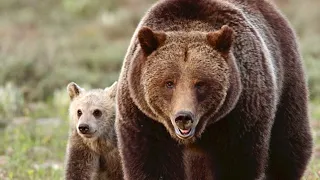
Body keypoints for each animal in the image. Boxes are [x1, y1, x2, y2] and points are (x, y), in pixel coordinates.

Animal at [115, 0, 312, 180]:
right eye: (169, 83)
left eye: (200, 84)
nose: (183, 117)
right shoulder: (144, 121)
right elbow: (152, 165)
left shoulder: (240, 117)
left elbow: (237, 163)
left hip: (287, 75)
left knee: (288, 144)